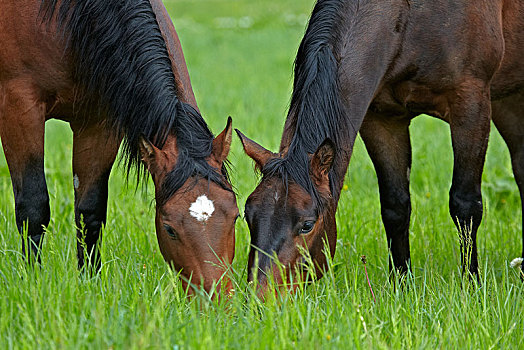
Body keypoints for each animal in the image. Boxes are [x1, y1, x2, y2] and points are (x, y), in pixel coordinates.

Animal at [0, 0, 239, 296]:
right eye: (169, 228)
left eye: (236, 217)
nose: (216, 299)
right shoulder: (20, 108)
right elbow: (33, 207)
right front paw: (33, 283)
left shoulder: (98, 122)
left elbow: (90, 211)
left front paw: (90, 284)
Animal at [237, 0, 524, 292]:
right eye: (249, 215)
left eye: (307, 224)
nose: (261, 296)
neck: (411, 19)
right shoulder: (382, 119)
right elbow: (395, 206)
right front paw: (401, 284)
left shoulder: (471, 103)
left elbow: (465, 204)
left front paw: (470, 285)